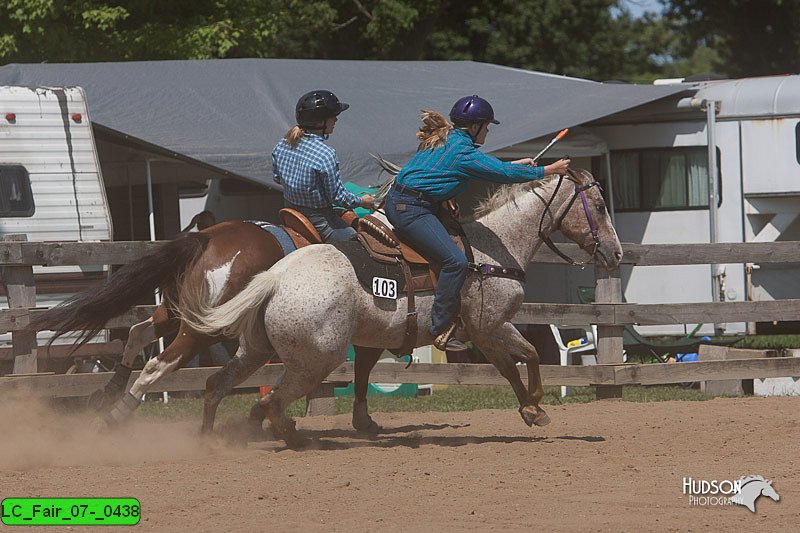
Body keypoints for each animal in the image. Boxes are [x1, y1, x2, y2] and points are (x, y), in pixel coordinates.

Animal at [183, 169, 624, 444]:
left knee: (218, 385)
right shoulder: (491, 326)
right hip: (316, 359)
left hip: (256, 349)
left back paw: (212, 438)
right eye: (600, 206)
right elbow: (526, 356)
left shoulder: (487, 330)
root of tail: (275, 276)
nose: (617, 253)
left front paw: (530, 408)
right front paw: (535, 404)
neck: (492, 250)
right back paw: (288, 435)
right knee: (271, 400)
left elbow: (513, 364)